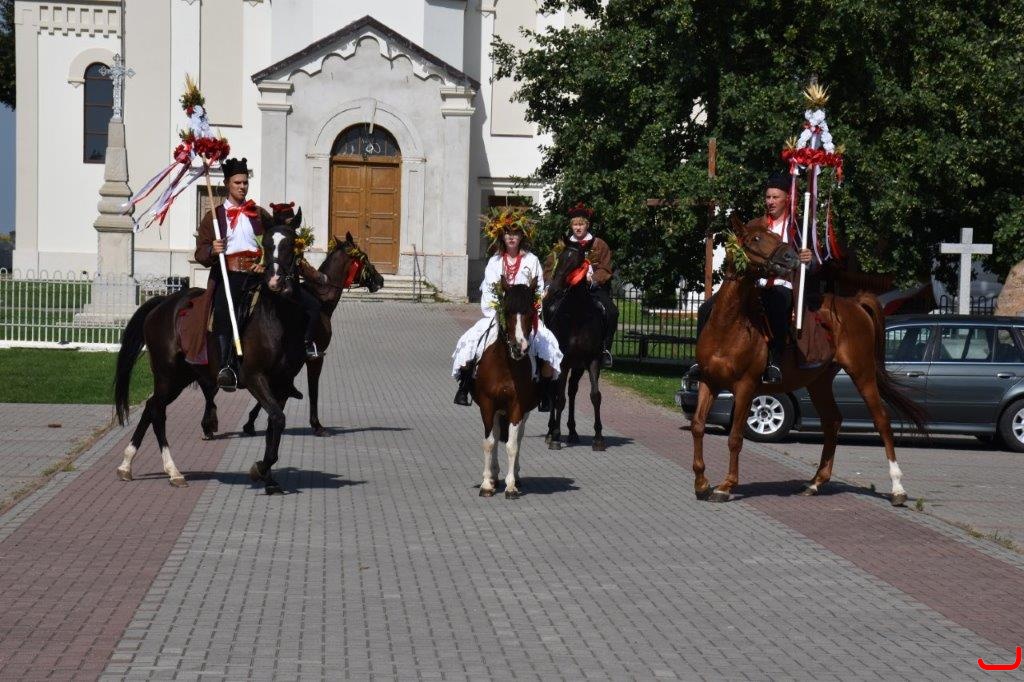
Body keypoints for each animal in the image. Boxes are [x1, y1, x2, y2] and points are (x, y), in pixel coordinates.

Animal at [113, 210, 307, 494]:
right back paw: (172, 471)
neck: (277, 319)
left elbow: (275, 425)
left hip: (180, 378)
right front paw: (260, 469)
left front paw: (269, 478)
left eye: (291, 244)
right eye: (266, 244)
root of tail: (163, 303)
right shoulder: (255, 378)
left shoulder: (281, 385)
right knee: (158, 412)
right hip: (166, 374)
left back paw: (127, 465)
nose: (274, 282)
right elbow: (277, 419)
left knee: (150, 407)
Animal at [240, 233, 385, 437]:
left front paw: (251, 420)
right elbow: (313, 390)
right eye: (363, 257)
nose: (380, 280)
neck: (321, 301)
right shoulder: (315, 358)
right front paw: (317, 425)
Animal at [473, 280, 541, 499]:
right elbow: (489, 442)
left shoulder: (517, 407)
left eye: (530, 311)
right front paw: (487, 484)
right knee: (494, 435)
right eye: (507, 311)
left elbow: (512, 445)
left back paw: (515, 478)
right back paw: (493, 476)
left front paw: (511, 486)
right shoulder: (487, 405)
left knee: (517, 439)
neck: (505, 366)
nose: (520, 348)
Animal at [542, 237, 606, 451]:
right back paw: (551, 432)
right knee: (554, 391)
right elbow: (559, 398)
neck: (578, 317)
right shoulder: (563, 362)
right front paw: (555, 437)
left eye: (577, 263)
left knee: (572, 391)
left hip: (578, 366)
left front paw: (598, 438)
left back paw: (572, 432)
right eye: (561, 258)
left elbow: (595, 396)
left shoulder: (593, 360)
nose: (554, 289)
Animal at [690, 214, 927, 504]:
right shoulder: (709, 382)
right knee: (832, 421)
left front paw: (726, 486)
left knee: (882, 420)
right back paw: (815, 482)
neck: (729, 325)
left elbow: (735, 437)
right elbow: (698, 426)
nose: (791, 257)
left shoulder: (745, 387)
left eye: (778, 237)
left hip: (862, 372)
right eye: (756, 238)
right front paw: (701, 483)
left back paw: (897, 488)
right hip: (819, 381)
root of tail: (855, 303)